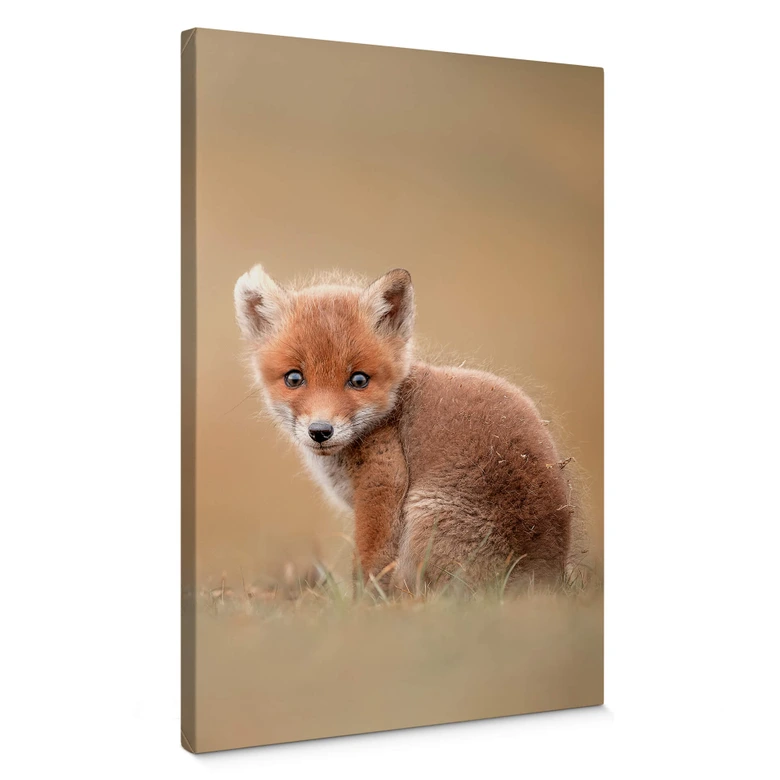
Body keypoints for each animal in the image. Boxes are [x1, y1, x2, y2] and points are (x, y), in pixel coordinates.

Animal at [234, 265, 574, 593]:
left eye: (359, 380)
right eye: (294, 378)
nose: (320, 431)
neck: (391, 412)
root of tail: (544, 578)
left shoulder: (383, 483)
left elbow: (370, 567)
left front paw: (363, 607)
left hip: (425, 517)